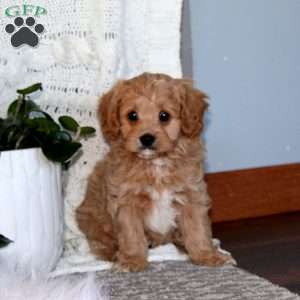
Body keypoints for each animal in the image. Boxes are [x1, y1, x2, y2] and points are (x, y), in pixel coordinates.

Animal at [75, 72, 234, 272]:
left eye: (164, 115)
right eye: (132, 115)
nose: (147, 138)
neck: (155, 164)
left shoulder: (192, 195)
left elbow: (198, 230)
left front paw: (207, 256)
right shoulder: (126, 201)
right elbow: (131, 233)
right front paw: (132, 260)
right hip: (93, 218)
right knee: (101, 240)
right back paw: (115, 253)